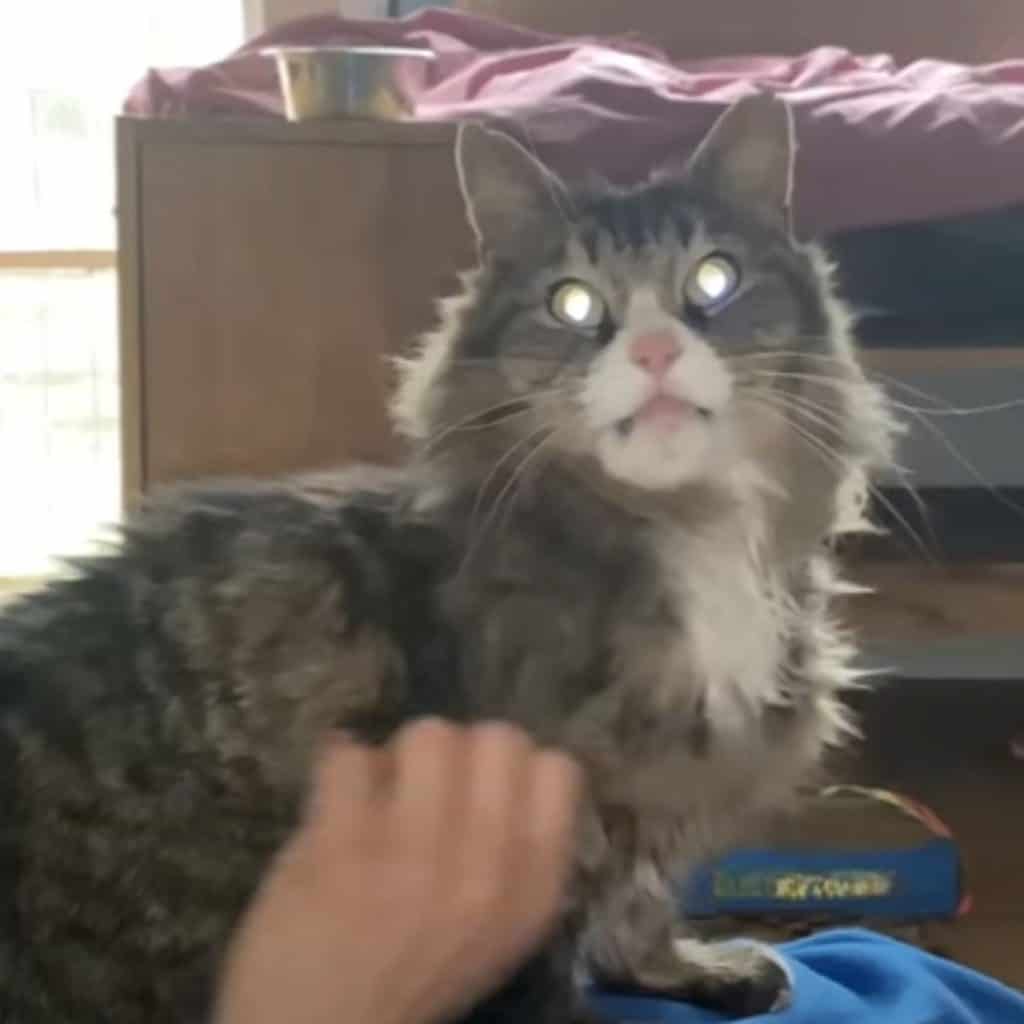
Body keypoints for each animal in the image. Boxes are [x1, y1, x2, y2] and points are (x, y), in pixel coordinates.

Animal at [0, 94, 895, 1023]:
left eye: (714, 280)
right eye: (573, 303)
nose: (653, 350)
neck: (686, 530)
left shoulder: (657, 787)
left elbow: (643, 903)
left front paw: (689, 966)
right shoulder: (540, 858)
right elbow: (555, 981)